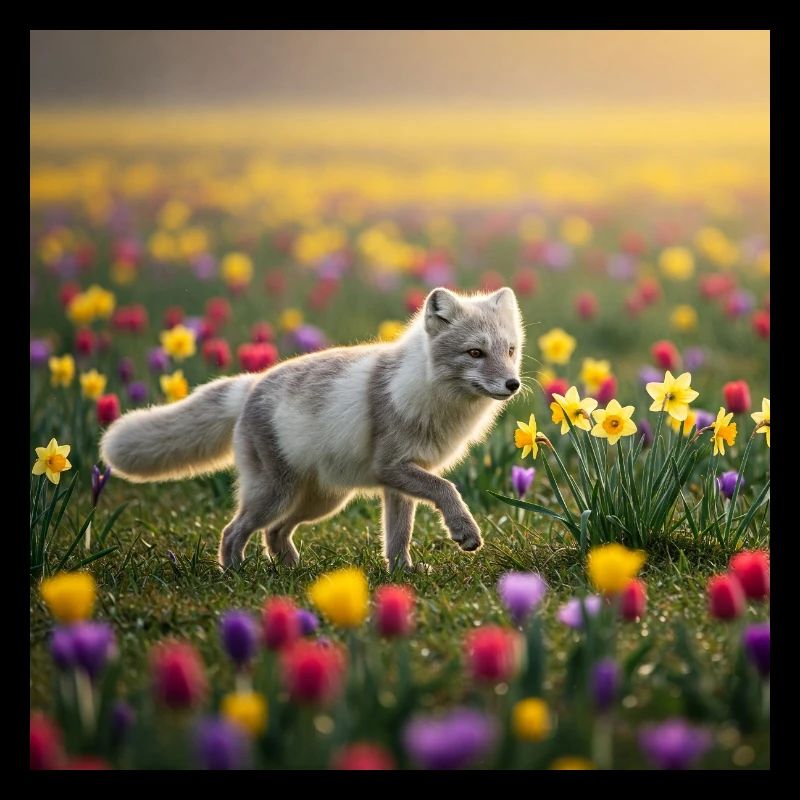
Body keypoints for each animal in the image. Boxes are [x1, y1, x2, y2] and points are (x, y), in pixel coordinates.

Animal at [100, 287, 525, 573]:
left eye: (510, 351)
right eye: (474, 353)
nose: (513, 384)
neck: (427, 390)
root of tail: (252, 383)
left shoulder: (397, 483)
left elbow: (397, 536)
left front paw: (402, 573)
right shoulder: (393, 468)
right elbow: (447, 489)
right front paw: (464, 531)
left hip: (321, 501)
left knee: (274, 533)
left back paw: (290, 570)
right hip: (276, 495)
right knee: (233, 531)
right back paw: (235, 574)